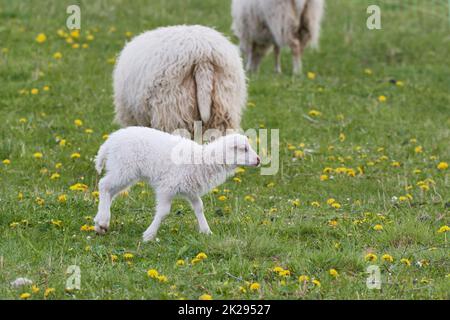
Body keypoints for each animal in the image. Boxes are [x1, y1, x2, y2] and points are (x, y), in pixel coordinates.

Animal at [93, 126, 258, 241]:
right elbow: (164, 212)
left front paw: (206, 231)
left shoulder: (190, 189)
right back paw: (103, 220)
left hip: (123, 170)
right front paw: (149, 235)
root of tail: (111, 140)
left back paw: (100, 223)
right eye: (244, 149)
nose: (258, 160)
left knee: (110, 192)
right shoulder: (167, 187)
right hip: (124, 168)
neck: (203, 160)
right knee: (103, 185)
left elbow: (199, 207)